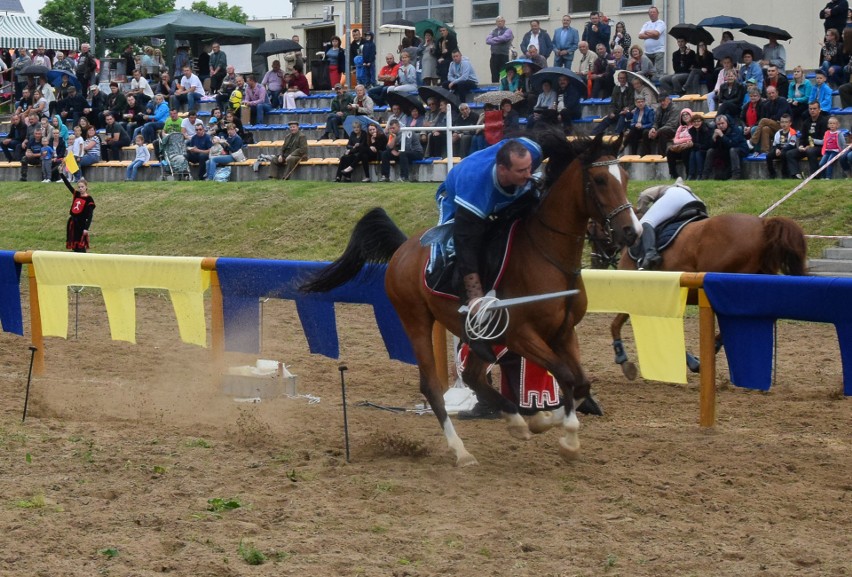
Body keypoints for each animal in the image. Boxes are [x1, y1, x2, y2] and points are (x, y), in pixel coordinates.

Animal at [302, 134, 644, 464]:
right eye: (599, 180)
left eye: (626, 177)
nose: (632, 231)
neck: (546, 255)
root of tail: (404, 247)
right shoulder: (521, 334)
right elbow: (566, 375)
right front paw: (565, 435)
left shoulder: (563, 331)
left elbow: (580, 381)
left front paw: (547, 421)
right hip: (415, 319)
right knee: (432, 386)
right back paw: (460, 450)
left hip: (478, 333)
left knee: (473, 375)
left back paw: (515, 421)